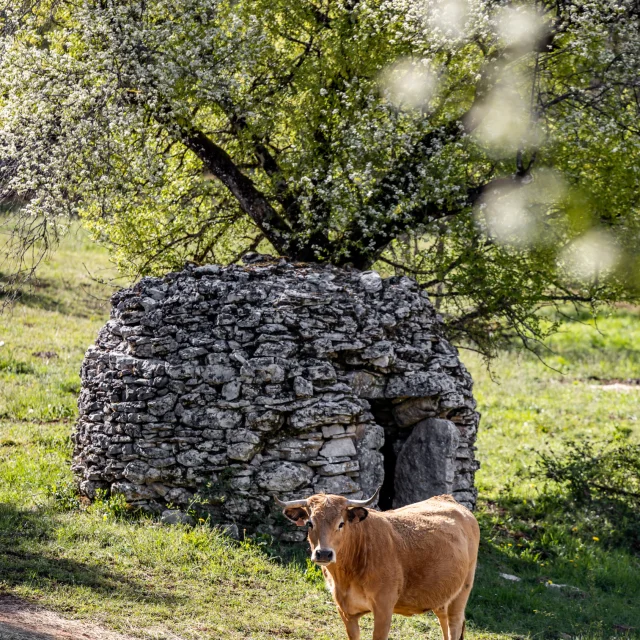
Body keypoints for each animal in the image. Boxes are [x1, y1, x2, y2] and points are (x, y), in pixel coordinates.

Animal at [276, 488, 480, 636]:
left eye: (341, 523)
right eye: (310, 523)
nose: (324, 553)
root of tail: (449, 500)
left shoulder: (384, 609)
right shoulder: (346, 611)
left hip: (462, 591)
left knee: (454, 624)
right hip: (441, 596)